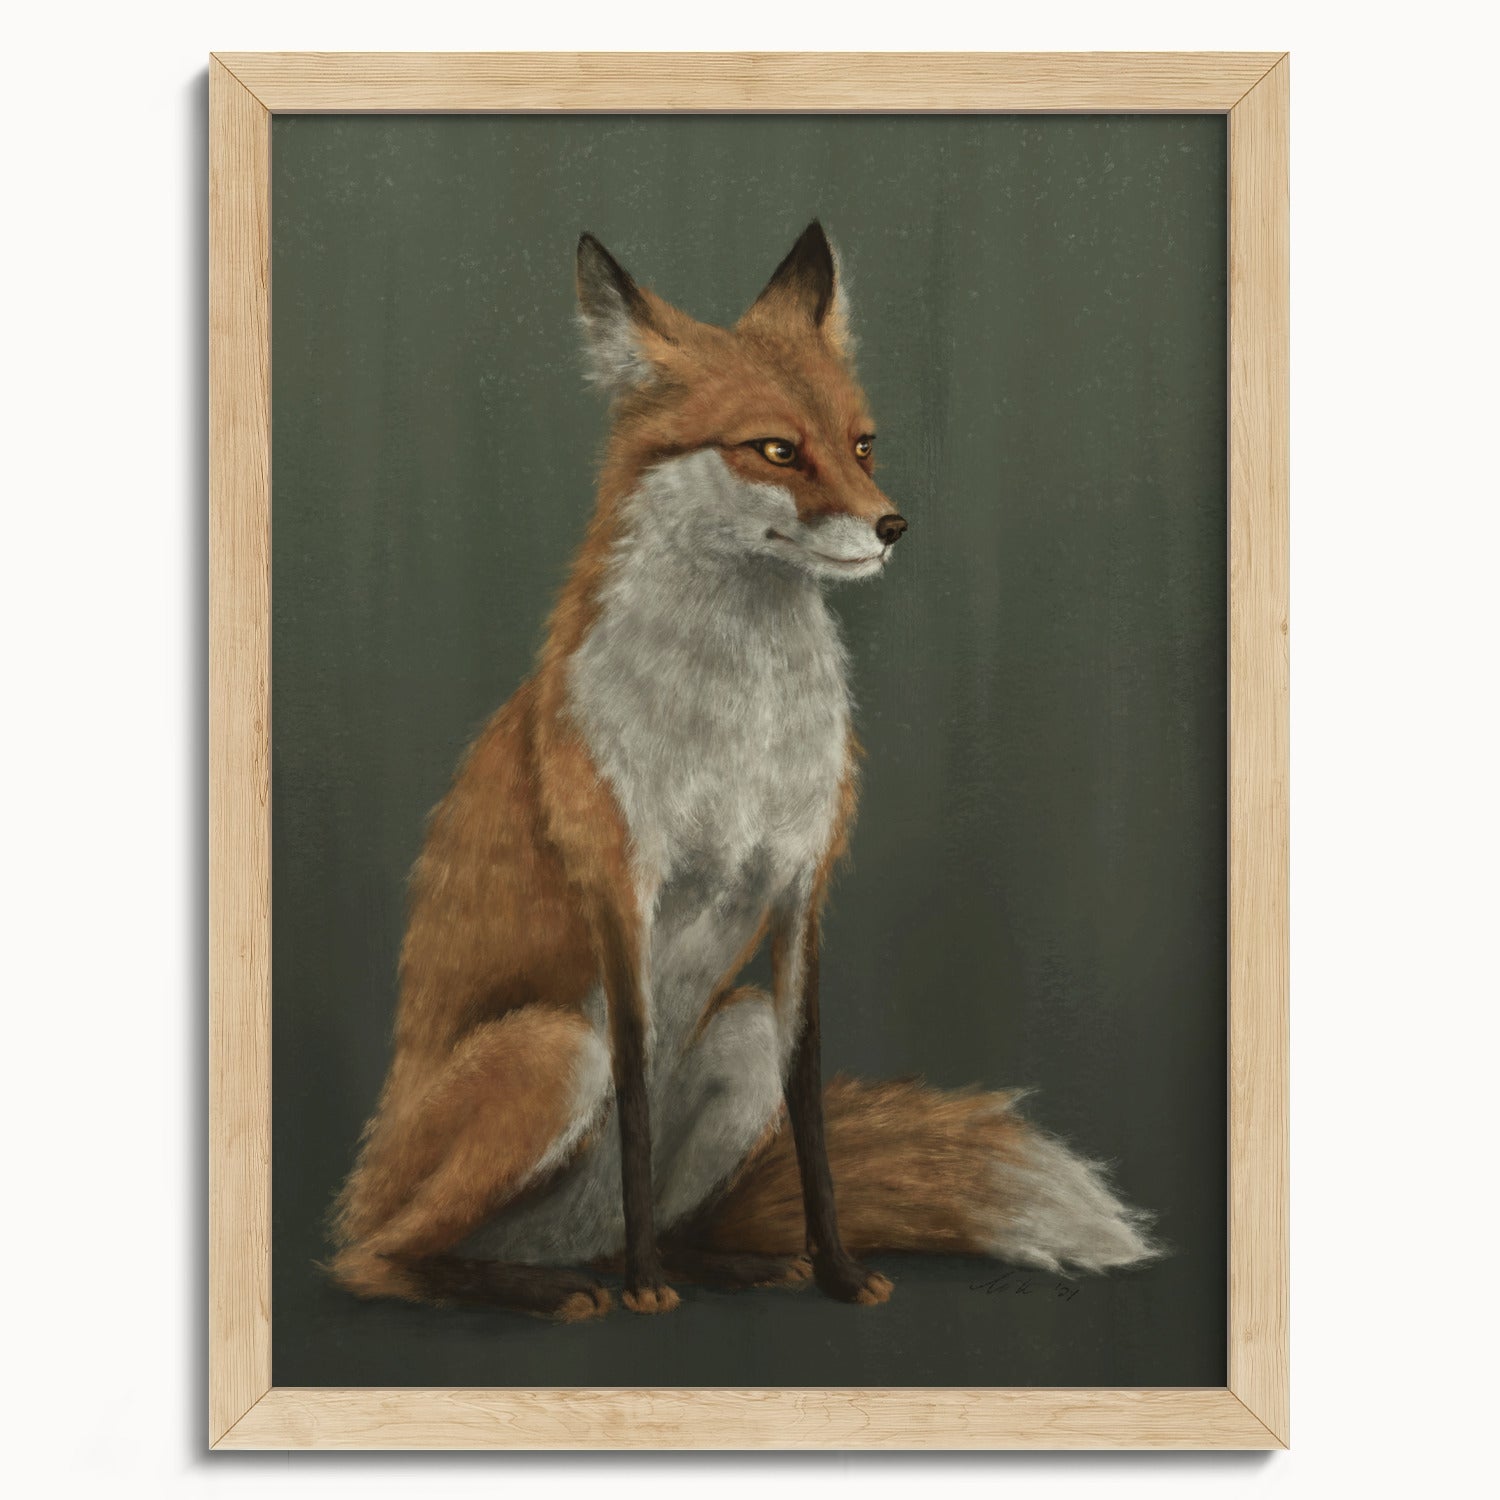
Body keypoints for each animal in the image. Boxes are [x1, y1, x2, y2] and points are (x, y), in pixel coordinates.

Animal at [327, 222, 1156, 1321]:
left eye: (862, 443)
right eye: (775, 450)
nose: (893, 526)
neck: (739, 731)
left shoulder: (802, 890)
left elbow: (811, 1116)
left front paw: (837, 1271)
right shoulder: (622, 893)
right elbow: (636, 1102)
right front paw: (645, 1292)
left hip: (738, 1033)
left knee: (668, 1215)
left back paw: (720, 1263)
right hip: (552, 1051)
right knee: (379, 1260)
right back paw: (555, 1285)